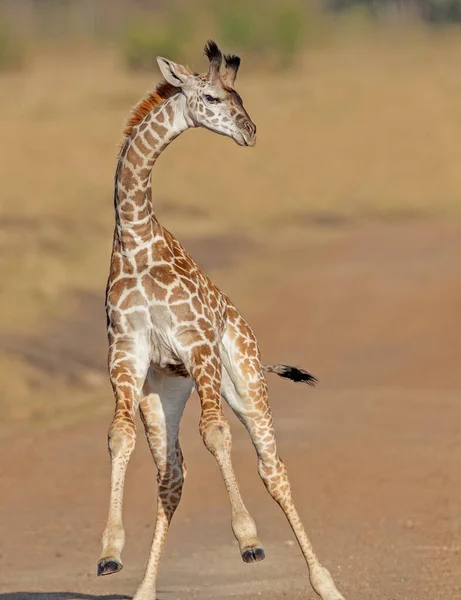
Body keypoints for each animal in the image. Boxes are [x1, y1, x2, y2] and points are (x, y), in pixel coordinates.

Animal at [98, 41, 344, 600]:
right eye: (211, 96)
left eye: (239, 96)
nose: (250, 131)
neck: (136, 240)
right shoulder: (127, 352)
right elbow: (119, 438)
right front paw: (109, 552)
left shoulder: (197, 343)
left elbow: (216, 435)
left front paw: (249, 539)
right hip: (164, 390)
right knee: (172, 477)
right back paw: (144, 588)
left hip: (243, 377)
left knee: (271, 467)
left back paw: (326, 583)